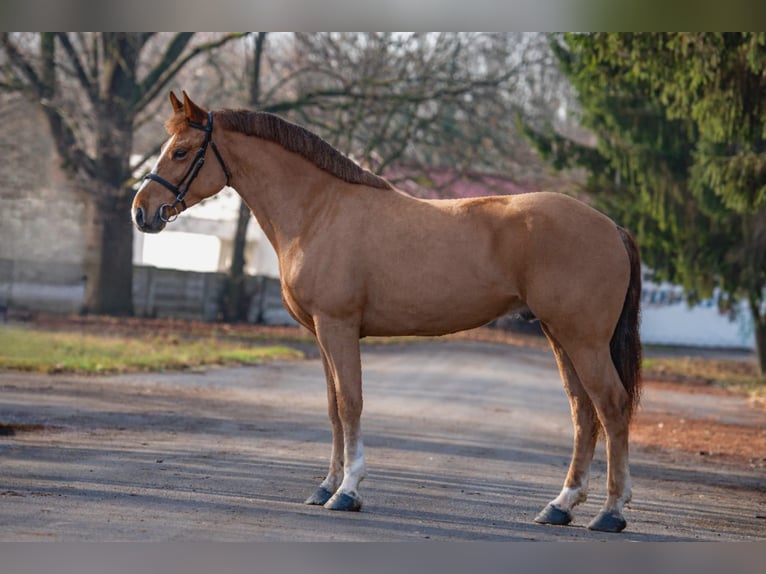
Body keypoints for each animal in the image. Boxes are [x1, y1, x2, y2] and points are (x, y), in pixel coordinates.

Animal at [132, 91, 642, 533]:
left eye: (181, 152)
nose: (141, 212)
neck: (318, 211)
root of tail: (612, 227)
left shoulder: (338, 326)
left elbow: (351, 403)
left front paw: (348, 491)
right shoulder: (322, 333)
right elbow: (333, 408)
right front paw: (326, 486)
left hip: (583, 340)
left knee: (612, 407)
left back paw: (611, 512)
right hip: (560, 336)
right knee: (584, 412)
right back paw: (561, 505)